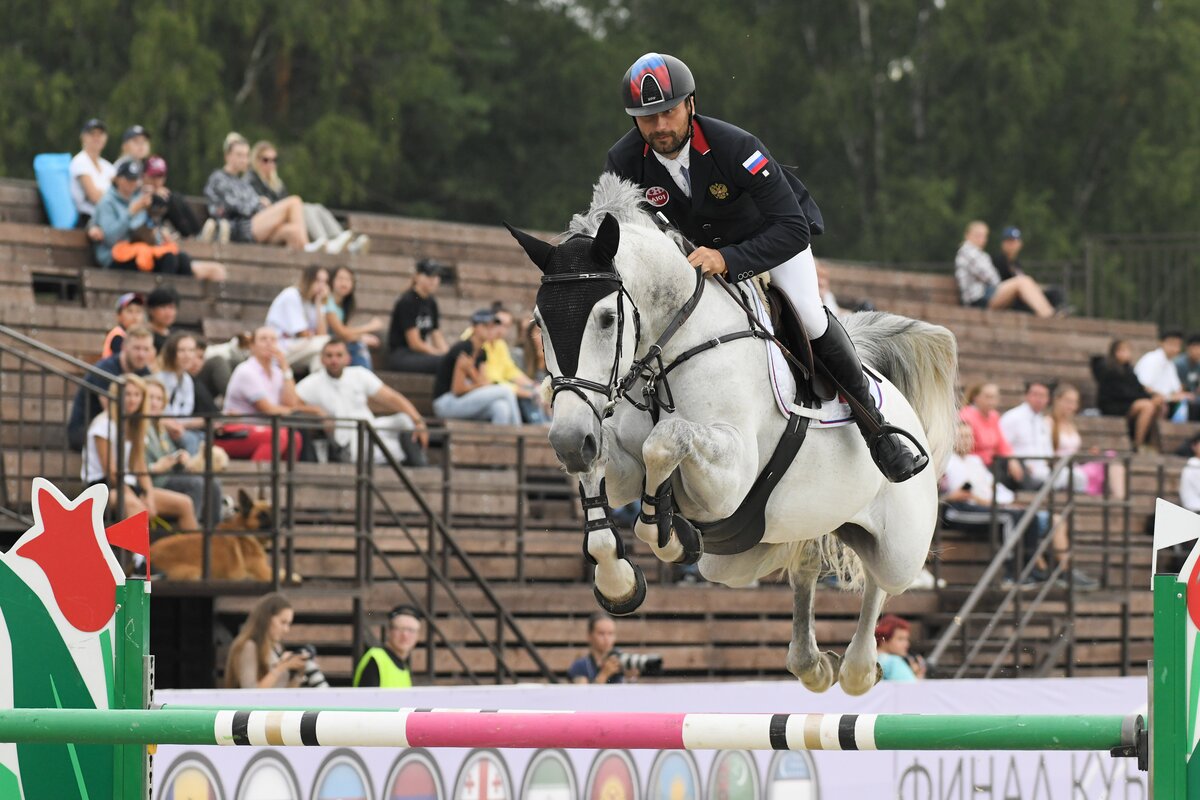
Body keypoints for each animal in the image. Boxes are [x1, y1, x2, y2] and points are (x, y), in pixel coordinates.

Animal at [506, 175, 955, 695]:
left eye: (607, 319)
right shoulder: (615, 459)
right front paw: (619, 581)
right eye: (539, 322)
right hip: (741, 557)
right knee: (803, 563)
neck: (665, 351)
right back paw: (812, 663)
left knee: (880, 582)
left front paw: (665, 531)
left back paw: (858, 667)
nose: (567, 441)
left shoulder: (729, 475)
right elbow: (608, 472)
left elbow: (666, 439)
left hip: (900, 547)